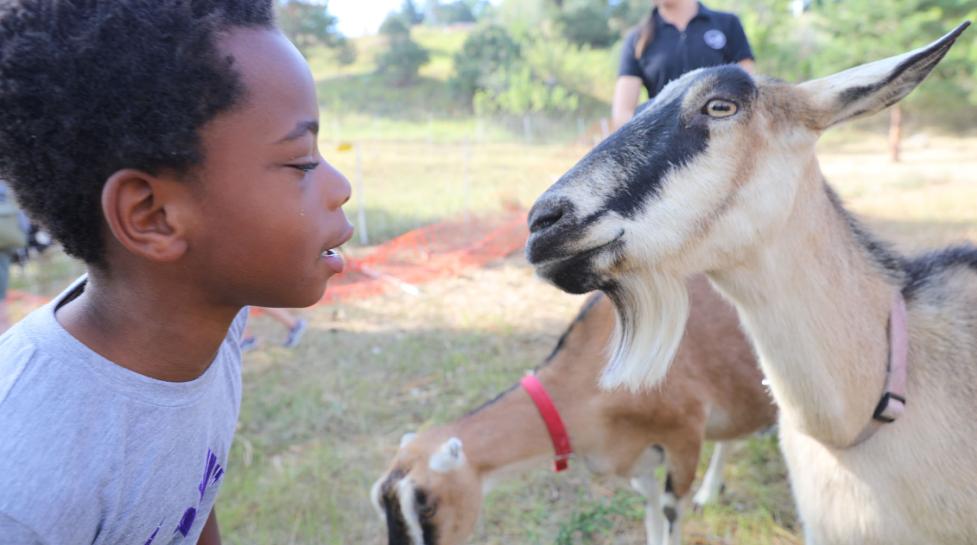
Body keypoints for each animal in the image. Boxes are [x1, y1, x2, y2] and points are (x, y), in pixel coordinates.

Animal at [370, 276, 772, 544]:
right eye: (380, 504)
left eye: (426, 506)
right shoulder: (635, 456)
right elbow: (651, 508)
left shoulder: (683, 436)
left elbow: (670, 512)